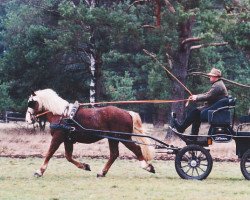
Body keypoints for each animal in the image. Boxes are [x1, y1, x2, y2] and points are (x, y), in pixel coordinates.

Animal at [25, 88, 154, 177]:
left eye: (31, 102)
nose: (27, 119)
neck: (61, 115)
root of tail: (127, 113)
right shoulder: (68, 140)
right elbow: (68, 156)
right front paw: (85, 166)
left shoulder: (58, 138)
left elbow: (49, 153)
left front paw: (39, 171)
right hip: (113, 138)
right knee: (114, 154)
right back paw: (102, 172)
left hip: (122, 137)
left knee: (136, 149)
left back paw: (147, 167)